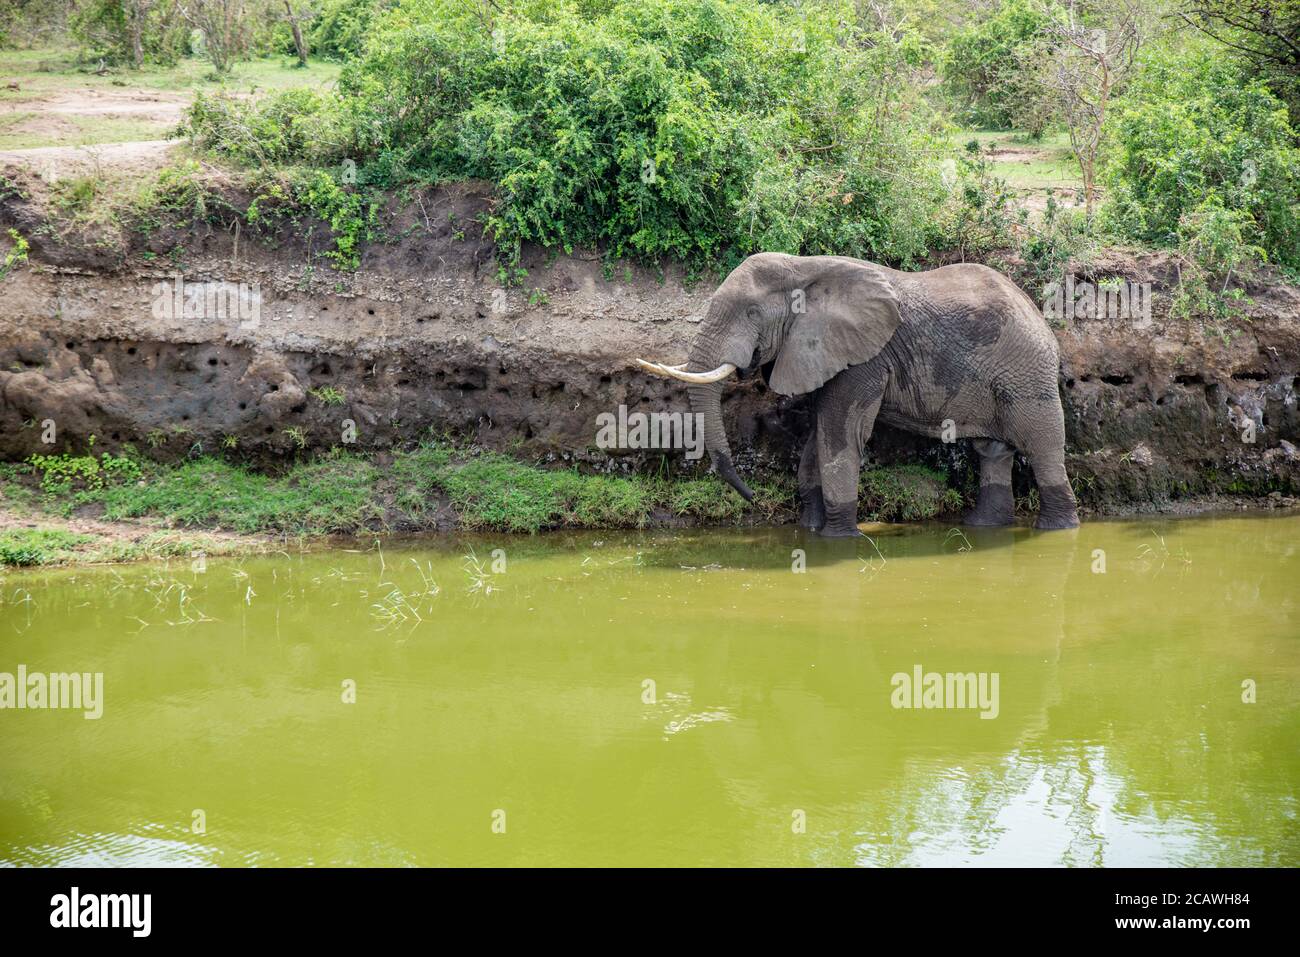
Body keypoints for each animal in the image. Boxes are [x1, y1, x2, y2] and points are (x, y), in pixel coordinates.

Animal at [637, 254, 1076, 538]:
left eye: (751, 314)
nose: (754, 499)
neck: (803, 267)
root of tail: (1039, 314)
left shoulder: (864, 359)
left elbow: (841, 435)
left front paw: (839, 538)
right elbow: (818, 436)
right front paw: (811, 530)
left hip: (1027, 374)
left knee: (1042, 447)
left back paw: (1057, 529)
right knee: (993, 451)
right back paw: (984, 527)